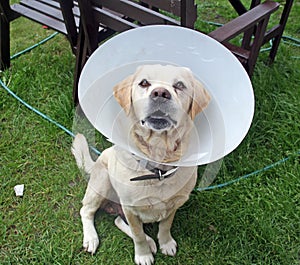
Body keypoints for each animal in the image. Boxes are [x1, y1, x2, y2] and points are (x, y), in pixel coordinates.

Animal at [72, 64, 210, 264]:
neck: (158, 167)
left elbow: (166, 225)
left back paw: (151, 241)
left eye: (179, 85)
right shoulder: (130, 209)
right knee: (86, 211)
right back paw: (91, 238)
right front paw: (143, 255)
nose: (160, 93)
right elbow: (137, 235)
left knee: (117, 221)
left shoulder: (173, 205)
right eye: (144, 83)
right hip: (102, 182)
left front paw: (165, 243)